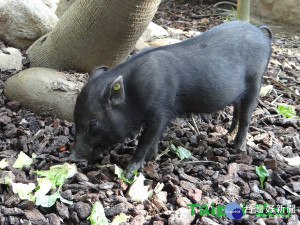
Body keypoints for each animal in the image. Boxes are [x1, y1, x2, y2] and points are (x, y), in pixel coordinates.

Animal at [72, 21, 272, 177]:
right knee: (238, 108)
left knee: (247, 115)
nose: (73, 157)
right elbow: (153, 139)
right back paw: (227, 135)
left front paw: (130, 171)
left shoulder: (162, 110)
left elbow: (146, 140)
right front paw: (152, 158)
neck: (134, 93)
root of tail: (260, 32)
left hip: (256, 79)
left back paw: (237, 148)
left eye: (92, 124)